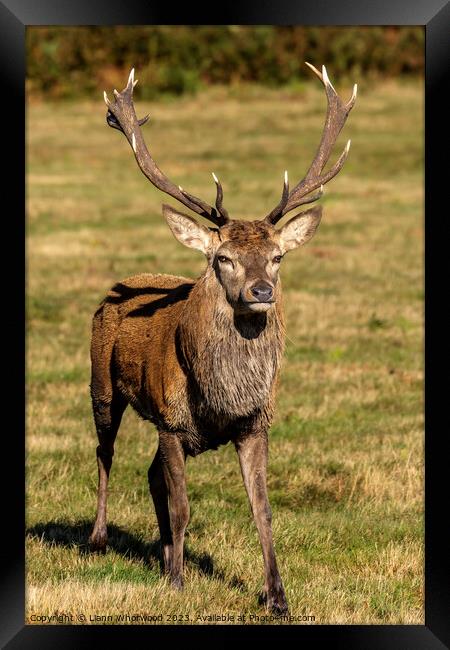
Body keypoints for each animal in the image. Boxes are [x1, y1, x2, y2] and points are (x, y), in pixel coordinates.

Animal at [88, 62, 356, 612]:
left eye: (278, 256)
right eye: (223, 258)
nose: (261, 291)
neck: (220, 397)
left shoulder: (255, 424)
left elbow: (262, 509)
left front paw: (277, 597)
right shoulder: (170, 420)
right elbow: (184, 506)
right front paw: (177, 583)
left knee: (150, 475)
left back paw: (165, 554)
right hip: (101, 384)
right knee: (106, 454)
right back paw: (100, 539)